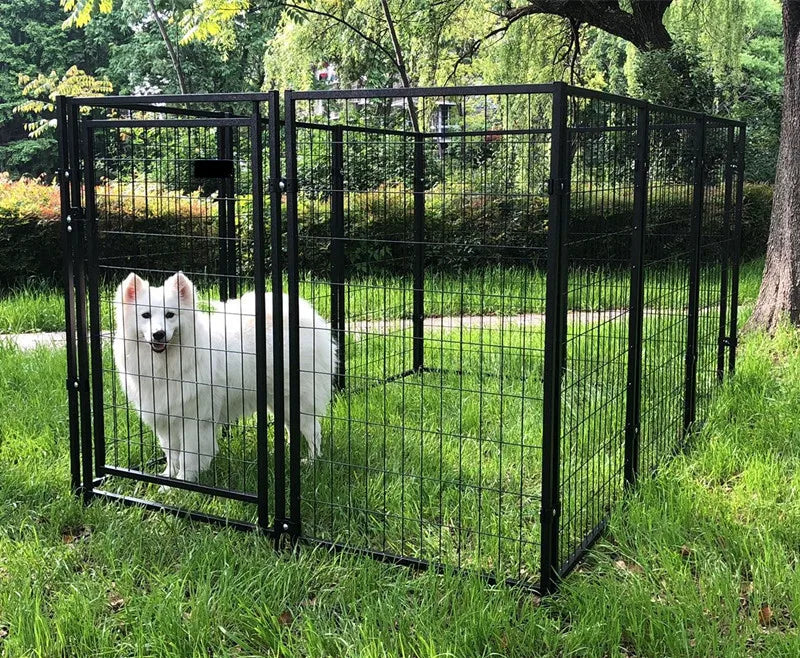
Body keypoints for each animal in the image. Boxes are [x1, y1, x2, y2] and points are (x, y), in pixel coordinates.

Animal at [111, 272, 332, 482]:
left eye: (170, 315)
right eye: (145, 315)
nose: (159, 334)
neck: (166, 365)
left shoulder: (195, 419)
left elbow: (188, 456)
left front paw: (185, 481)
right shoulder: (166, 419)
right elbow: (171, 453)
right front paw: (168, 478)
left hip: (297, 401)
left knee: (313, 430)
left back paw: (312, 461)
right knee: (293, 428)